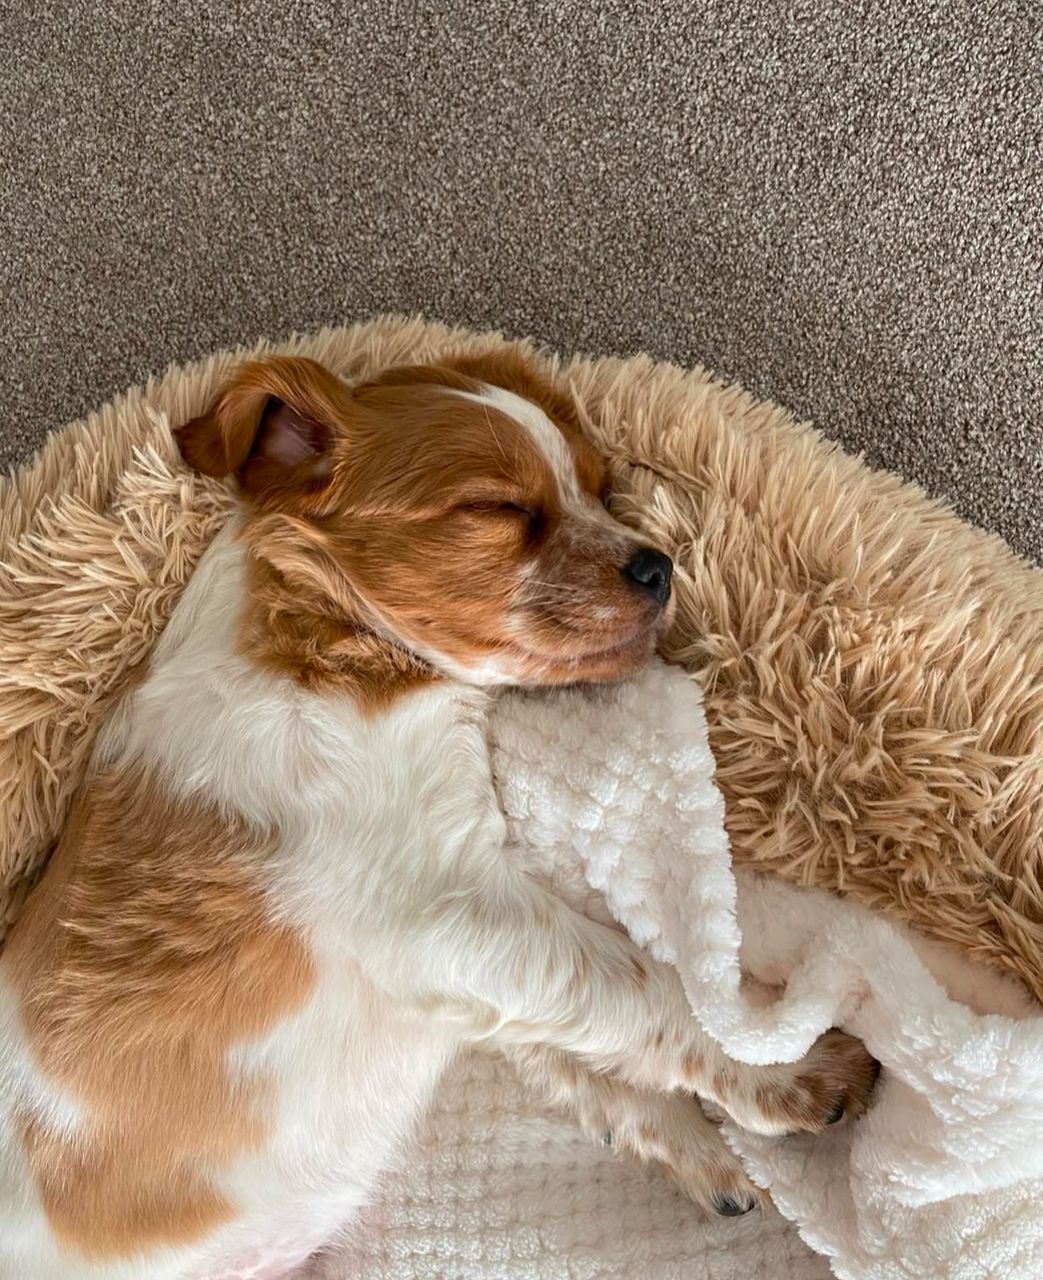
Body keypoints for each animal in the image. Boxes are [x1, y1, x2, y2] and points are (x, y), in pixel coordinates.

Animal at [0, 350, 878, 1279]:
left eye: (600, 487)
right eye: (498, 508)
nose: (658, 565)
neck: (334, 654)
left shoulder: (462, 972)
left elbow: (583, 1041)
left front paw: (695, 1144)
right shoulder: (442, 914)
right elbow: (643, 991)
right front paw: (792, 1068)